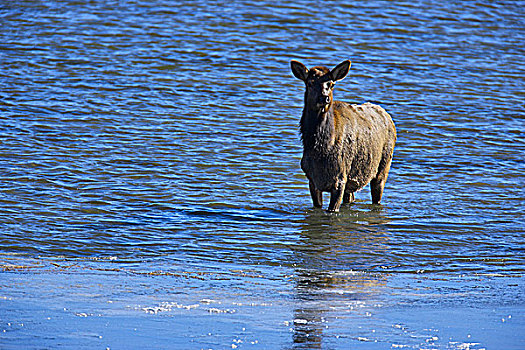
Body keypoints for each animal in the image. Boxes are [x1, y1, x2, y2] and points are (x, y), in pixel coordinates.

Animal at [288, 59, 396, 212]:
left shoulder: (340, 178)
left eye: (331, 84)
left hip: (383, 168)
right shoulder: (312, 180)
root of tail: (387, 115)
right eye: (309, 83)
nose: (324, 97)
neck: (320, 149)